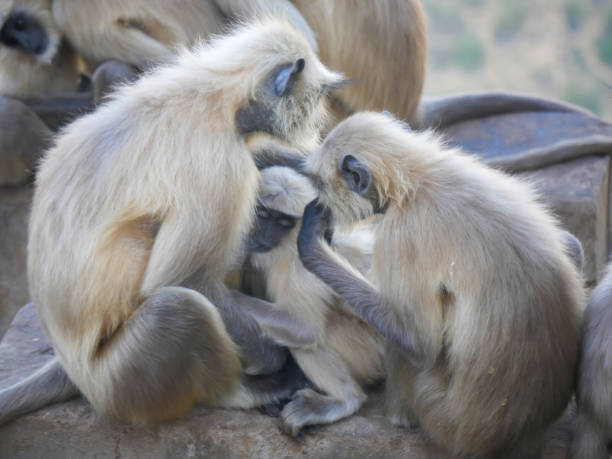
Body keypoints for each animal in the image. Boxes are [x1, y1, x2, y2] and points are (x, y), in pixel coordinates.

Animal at [0, 18, 344, 428]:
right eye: (317, 97)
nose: (319, 117)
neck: (217, 94)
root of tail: (75, 370)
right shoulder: (217, 163)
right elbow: (184, 278)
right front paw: (271, 359)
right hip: (120, 384)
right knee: (179, 307)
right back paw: (247, 390)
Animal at [244, 167, 382, 436]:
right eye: (263, 214)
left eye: (284, 223)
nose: (265, 235)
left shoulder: (300, 263)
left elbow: (301, 326)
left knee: (314, 333)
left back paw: (346, 400)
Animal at [298, 112, 584, 459]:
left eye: (320, 184)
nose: (321, 201)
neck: (416, 177)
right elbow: (570, 243)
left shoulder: (402, 234)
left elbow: (418, 342)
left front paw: (311, 245)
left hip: (438, 412)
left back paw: (400, 418)